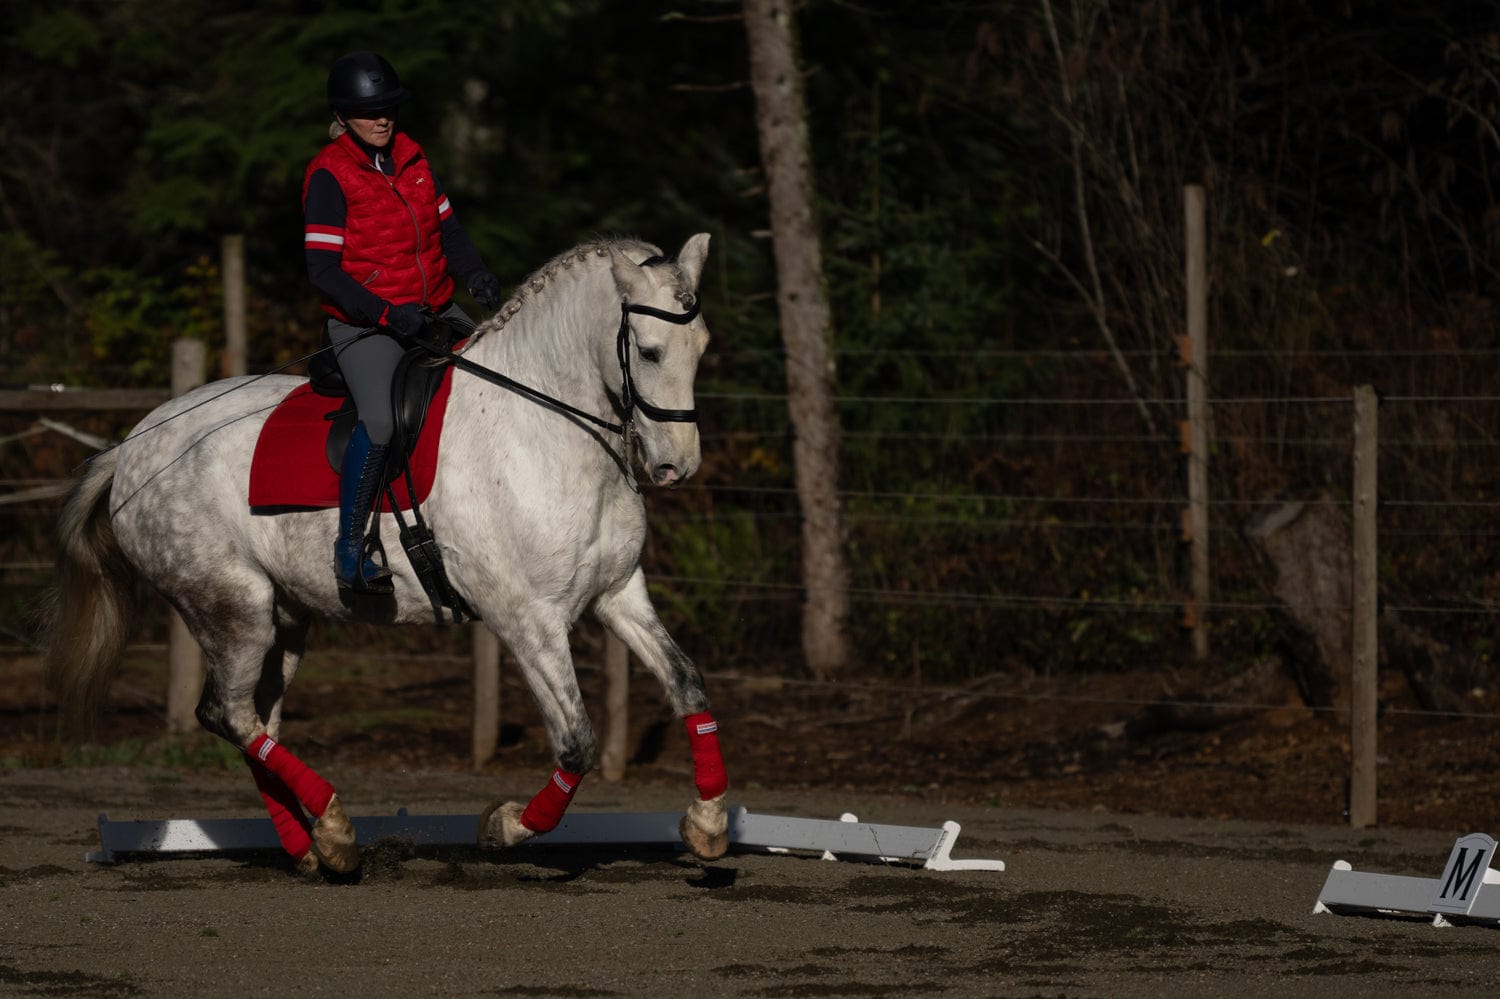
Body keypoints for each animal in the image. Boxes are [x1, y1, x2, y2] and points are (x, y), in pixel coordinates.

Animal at [41, 234, 732, 870]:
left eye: (701, 347)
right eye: (648, 351)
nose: (677, 466)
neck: (544, 427)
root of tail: (131, 448)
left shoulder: (618, 595)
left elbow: (689, 686)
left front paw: (707, 825)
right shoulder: (528, 620)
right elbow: (577, 744)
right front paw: (504, 826)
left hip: (286, 621)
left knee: (257, 722)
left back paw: (311, 845)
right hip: (232, 607)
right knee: (228, 714)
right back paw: (334, 826)